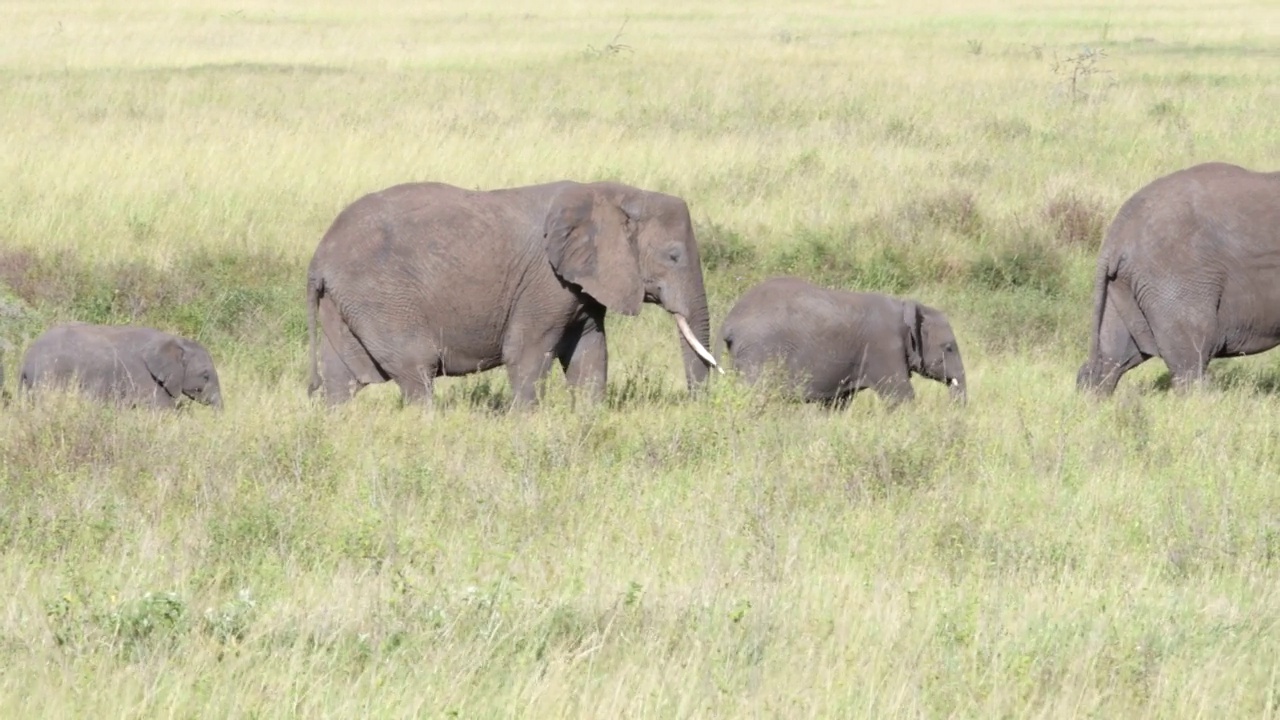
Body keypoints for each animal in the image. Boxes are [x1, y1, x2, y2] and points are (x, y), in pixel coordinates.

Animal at [303, 176, 716, 407]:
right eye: (673, 256)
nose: (696, 406)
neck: (610, 194)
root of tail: (319, 256)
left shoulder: (582, 288)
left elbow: (590, 354)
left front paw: (588, 418)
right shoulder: (544, 282)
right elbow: (527, 355)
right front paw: (527, 426)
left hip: (345, 303)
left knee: (342, 379)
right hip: (381, 299)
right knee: (416, 372)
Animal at [716, 275, 962, 404]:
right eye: (949, 348)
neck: (906, 307)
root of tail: (729, 320)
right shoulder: (884, 347)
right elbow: (901, 396)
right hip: (758, 353)